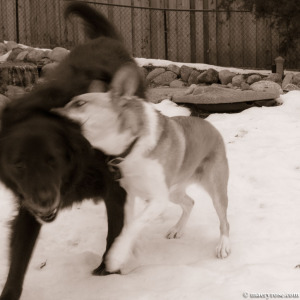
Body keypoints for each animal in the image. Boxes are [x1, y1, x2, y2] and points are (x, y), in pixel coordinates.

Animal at [0, 2, 145, 300]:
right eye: (19, 164)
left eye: (53, 160)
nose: (45, 200)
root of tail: (106, 39)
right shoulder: (28, 205)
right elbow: (18, 260)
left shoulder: (115, 185)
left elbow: (114, 232)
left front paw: (108, 269)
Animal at [57, 67, 231, 274]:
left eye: (80, 103)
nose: (49, 114)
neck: (132, 146)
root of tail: (212, 127)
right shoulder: (129, 195)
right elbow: (127, 225)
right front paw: (127, 250)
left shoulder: (157, 199)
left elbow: (133, 225)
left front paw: (116, 256)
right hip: (173, 192)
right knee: (190, 202)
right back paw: (177, 229)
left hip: (215, 190)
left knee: (224, 221)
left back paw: (223, 245)